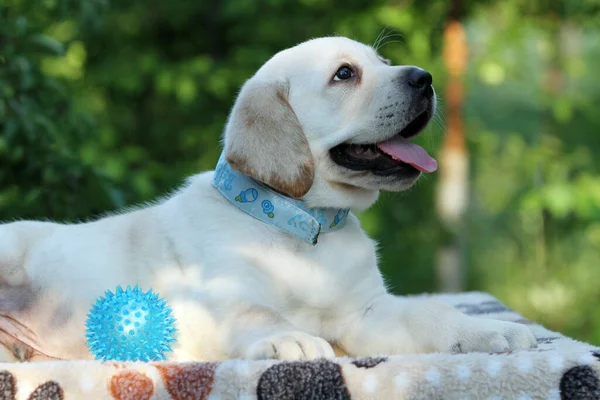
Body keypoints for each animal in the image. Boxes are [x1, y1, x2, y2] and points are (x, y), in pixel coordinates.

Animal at [0, 36, 536, 362]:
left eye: (383, 64)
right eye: (345, 74)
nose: (424, 78)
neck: (303, 225)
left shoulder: (366, 313)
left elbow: (429, 312)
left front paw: (487, 330)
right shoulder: (220, 297)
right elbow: (256, 313)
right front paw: (291, 337)